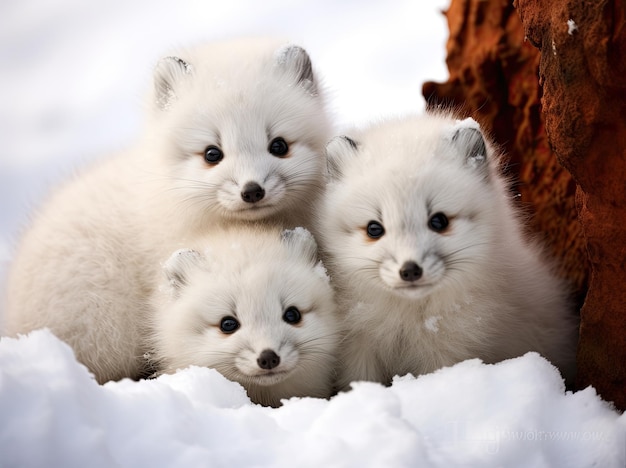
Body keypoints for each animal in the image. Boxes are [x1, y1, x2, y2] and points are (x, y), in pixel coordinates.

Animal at [316, 111, 580, 390]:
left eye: (439, 221)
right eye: (374, 229)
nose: (410, 271)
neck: (407, 320)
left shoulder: (447, 354)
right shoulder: (360, 351)